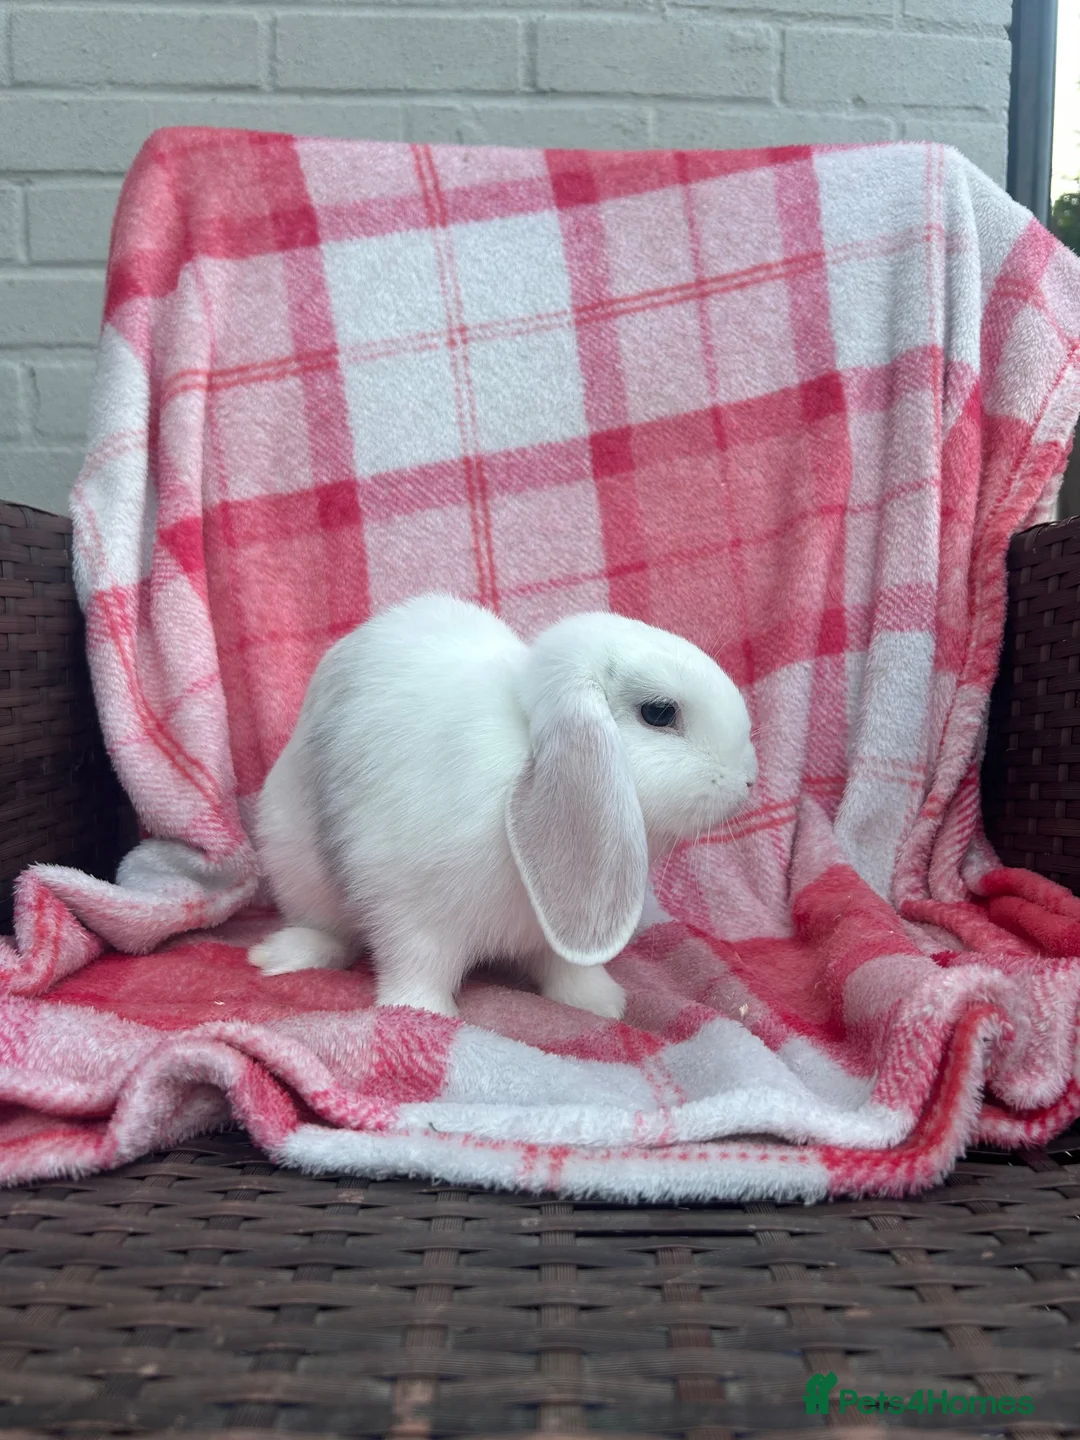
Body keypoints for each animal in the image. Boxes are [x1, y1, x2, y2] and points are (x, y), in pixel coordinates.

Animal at [249, 593, 757, 1020]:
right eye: (659, 713)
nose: (749, 781)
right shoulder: (410, 908)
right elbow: (416, 965)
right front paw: (422, 1013)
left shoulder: (556, 935)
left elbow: (570, 968)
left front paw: (600, 1004)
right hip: (295, 863)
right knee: (329, 931)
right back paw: (280, 955)